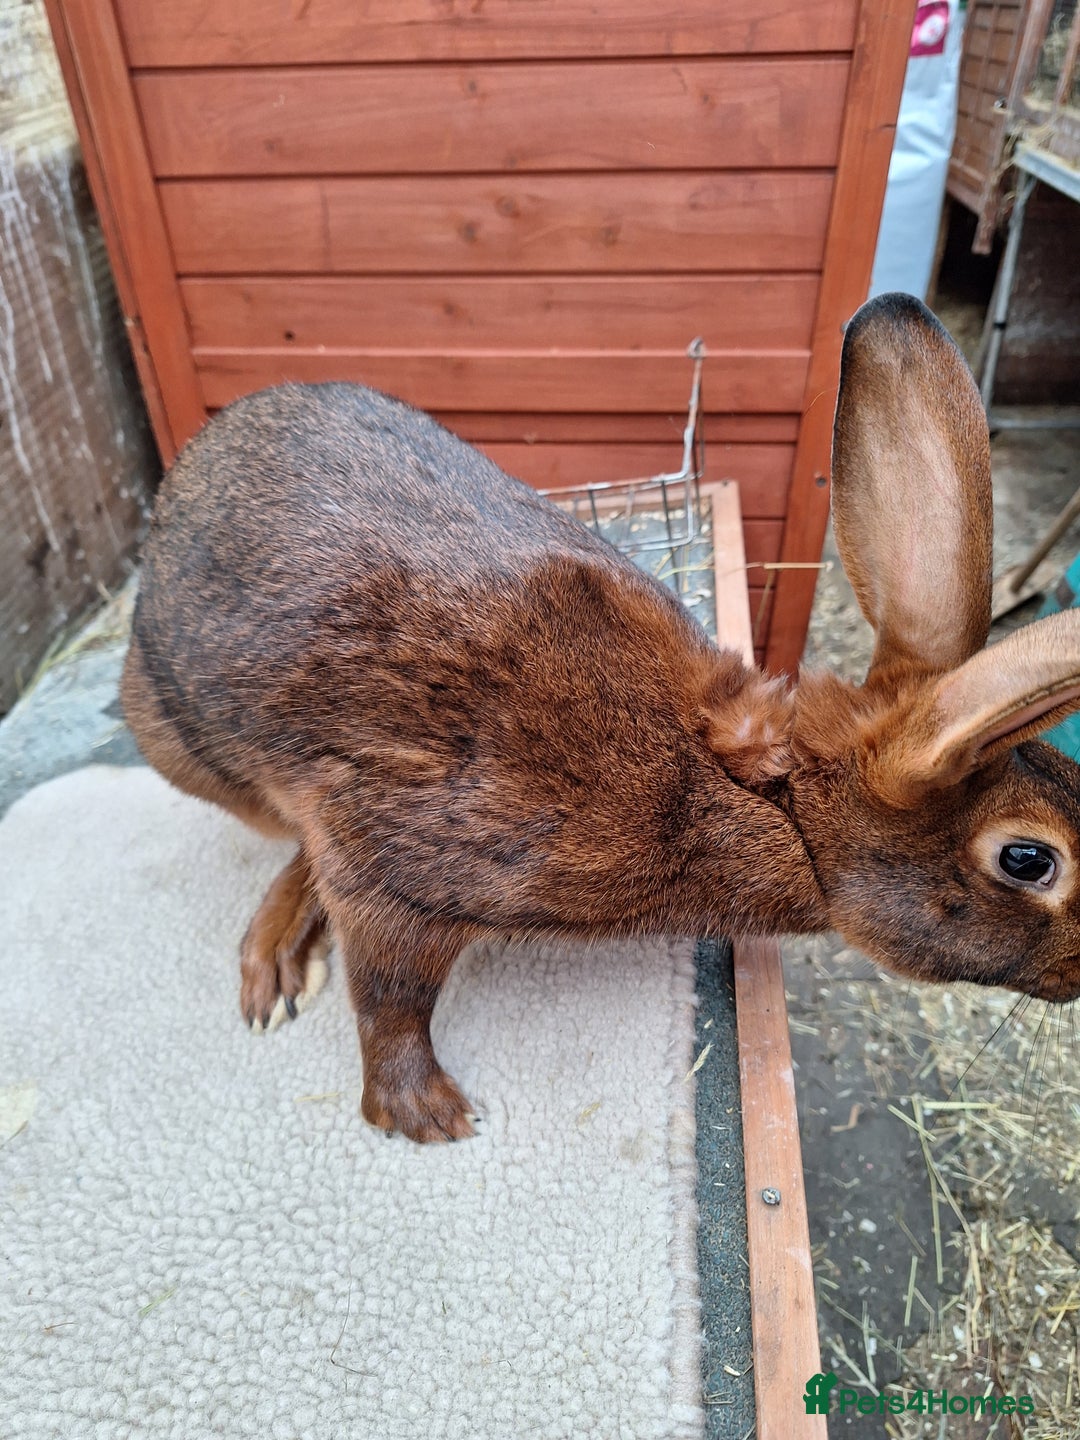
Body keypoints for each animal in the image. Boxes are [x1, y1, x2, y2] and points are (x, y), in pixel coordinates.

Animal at [122, 292, 1080, 1142]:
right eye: (1030, 859)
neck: (766, 796)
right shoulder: (390, 864)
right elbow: (391, 996)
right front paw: (424, 1114)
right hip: (193, 749)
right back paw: (273, 962)